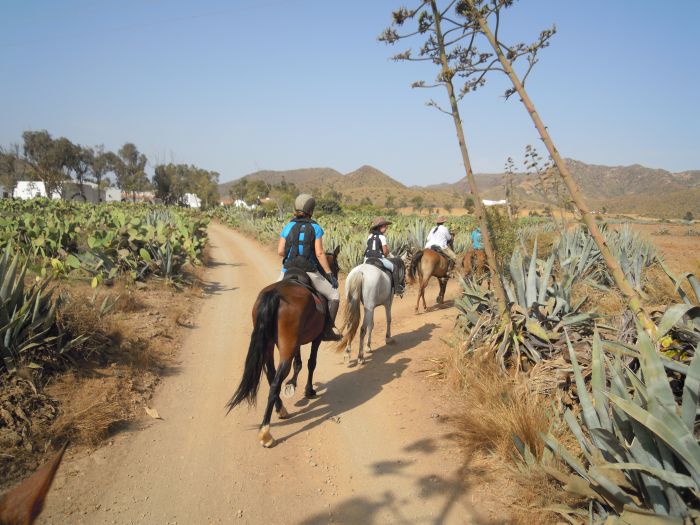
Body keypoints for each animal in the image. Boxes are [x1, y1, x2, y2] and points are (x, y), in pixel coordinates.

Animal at [227, 249, 340, 446]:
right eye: (337, 267)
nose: (335, 279)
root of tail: (274, 294)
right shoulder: (316, 338)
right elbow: (311, 363)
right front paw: (308, 390)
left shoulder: (297, 341)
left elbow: (299, 363)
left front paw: (292, 384)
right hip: (286, 346)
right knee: (275, 382)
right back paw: (265, 432)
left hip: (270, 345)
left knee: (271, 374)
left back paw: (281, 409)